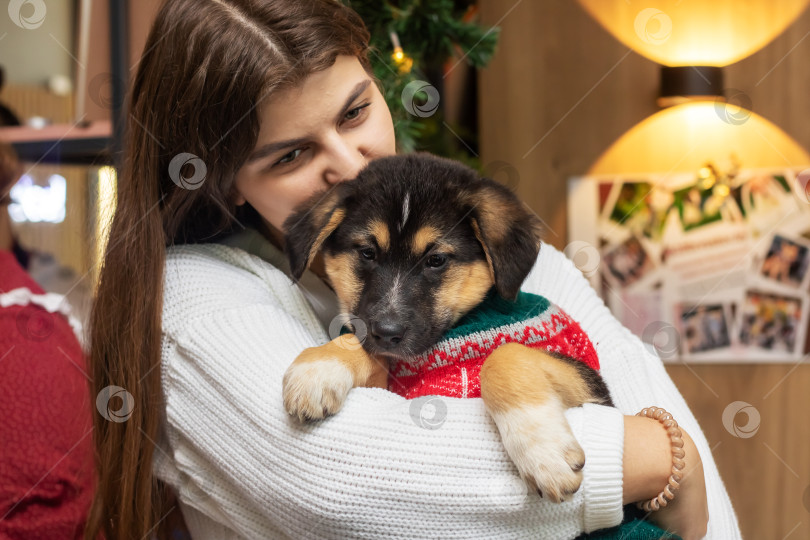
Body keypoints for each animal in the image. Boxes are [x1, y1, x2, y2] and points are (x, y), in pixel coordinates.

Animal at [280, 151, 608, 502]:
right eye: (367, 253)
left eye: (436, 260)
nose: (387, 332)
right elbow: (364, 346)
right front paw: (319, 367)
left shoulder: (592, 385)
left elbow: (505, 354)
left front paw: (544, 452)